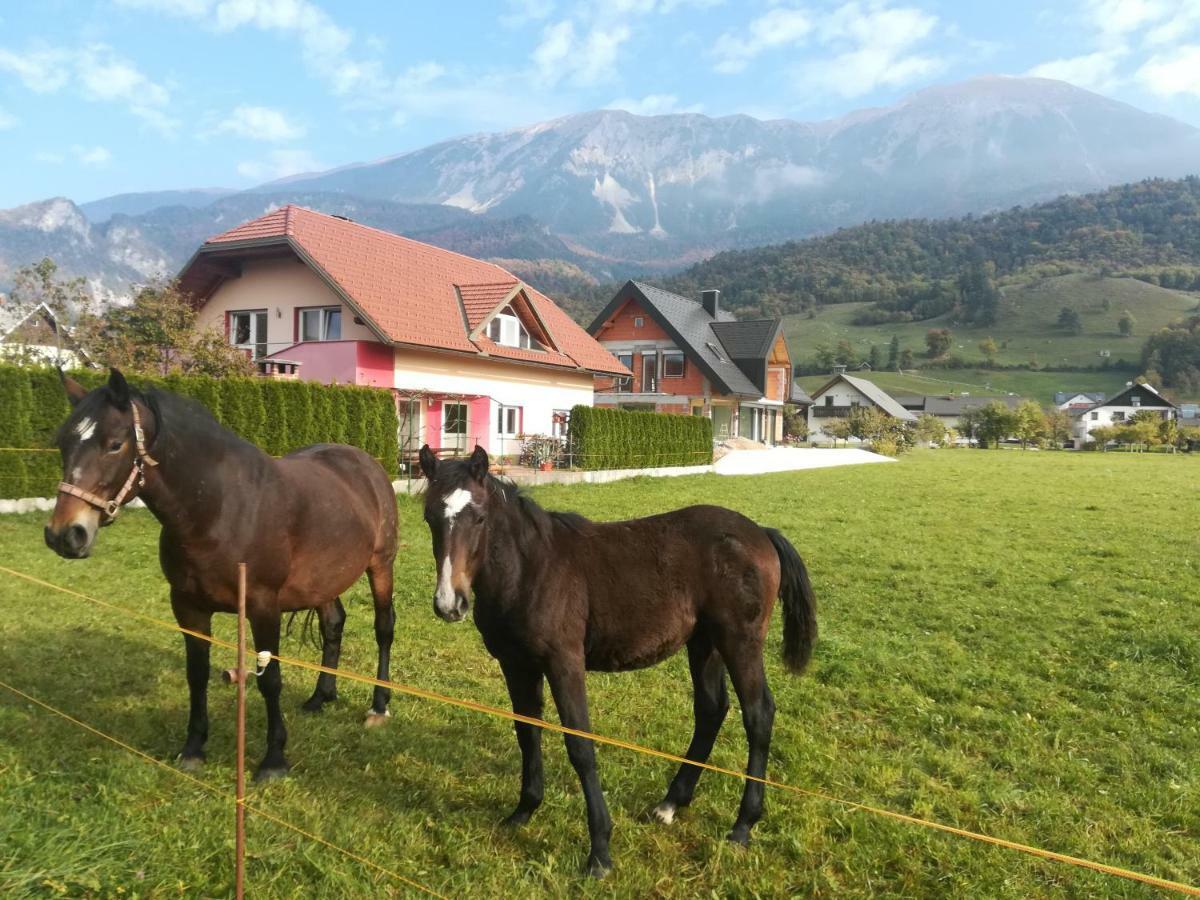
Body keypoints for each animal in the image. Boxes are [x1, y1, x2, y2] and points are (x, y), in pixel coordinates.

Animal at [44, 374, 400, 782]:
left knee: (384, 628)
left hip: (381, 566)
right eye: (63, 442)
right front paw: (194, 748)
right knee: (333, 624)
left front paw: (274, 759)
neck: (218, 508)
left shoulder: (263, 607)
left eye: (115, 444)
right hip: (323, 580)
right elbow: (196, 674)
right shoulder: (187, 607)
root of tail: (366, 464)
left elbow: (270, 679)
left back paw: (378, 707)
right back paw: (320, 697)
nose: (64, 534)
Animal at [417, 446, 820, 883]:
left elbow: (580, 746)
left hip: (739, 641)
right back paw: (670, 804)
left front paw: (600, 852)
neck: (529, 570)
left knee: (758, 713)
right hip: (704, 643)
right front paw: (523, 811)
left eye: (479, 517)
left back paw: (743, 825)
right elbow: (528, 733)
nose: (449, 604)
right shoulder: (516, 664)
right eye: (429, 517)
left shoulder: (564, 662)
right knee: (712, 710)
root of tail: (761, 532)